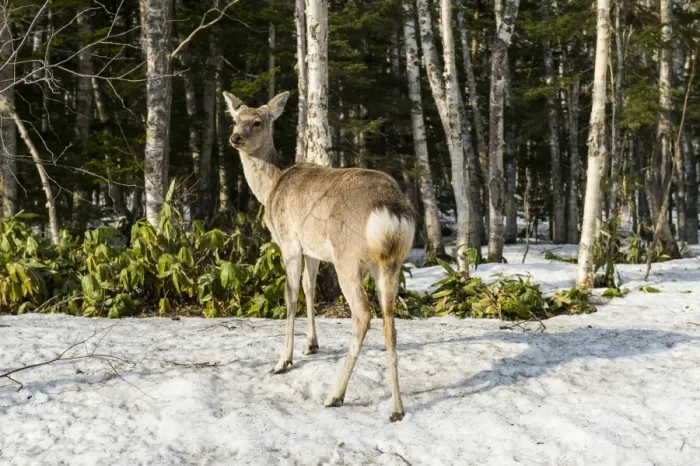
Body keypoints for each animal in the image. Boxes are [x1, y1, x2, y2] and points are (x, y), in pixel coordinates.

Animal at [223, 90, 416, 421]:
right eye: (236, 119)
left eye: (257, 121)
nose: (235, 137)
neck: (271, 188)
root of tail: (392, 211)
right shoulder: (311, 248)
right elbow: (308, 288)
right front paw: (311, 345)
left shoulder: (289, 241)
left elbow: (290, 296)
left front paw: (282, 361)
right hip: (390, 263)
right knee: (390, 320)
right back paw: (396, 409)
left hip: (348, 257)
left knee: (363, 314)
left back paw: (335, 395)